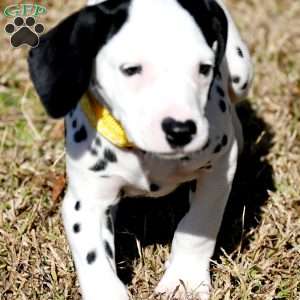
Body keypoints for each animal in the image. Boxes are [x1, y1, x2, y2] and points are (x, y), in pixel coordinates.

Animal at [28, 1, 253, 298]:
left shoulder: (217, 170)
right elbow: (93, 258)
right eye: (131, 69)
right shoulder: (86, 201)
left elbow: (197, 225)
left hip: (240, 73)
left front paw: (185, 280)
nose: (180, 130)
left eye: (204, 68)